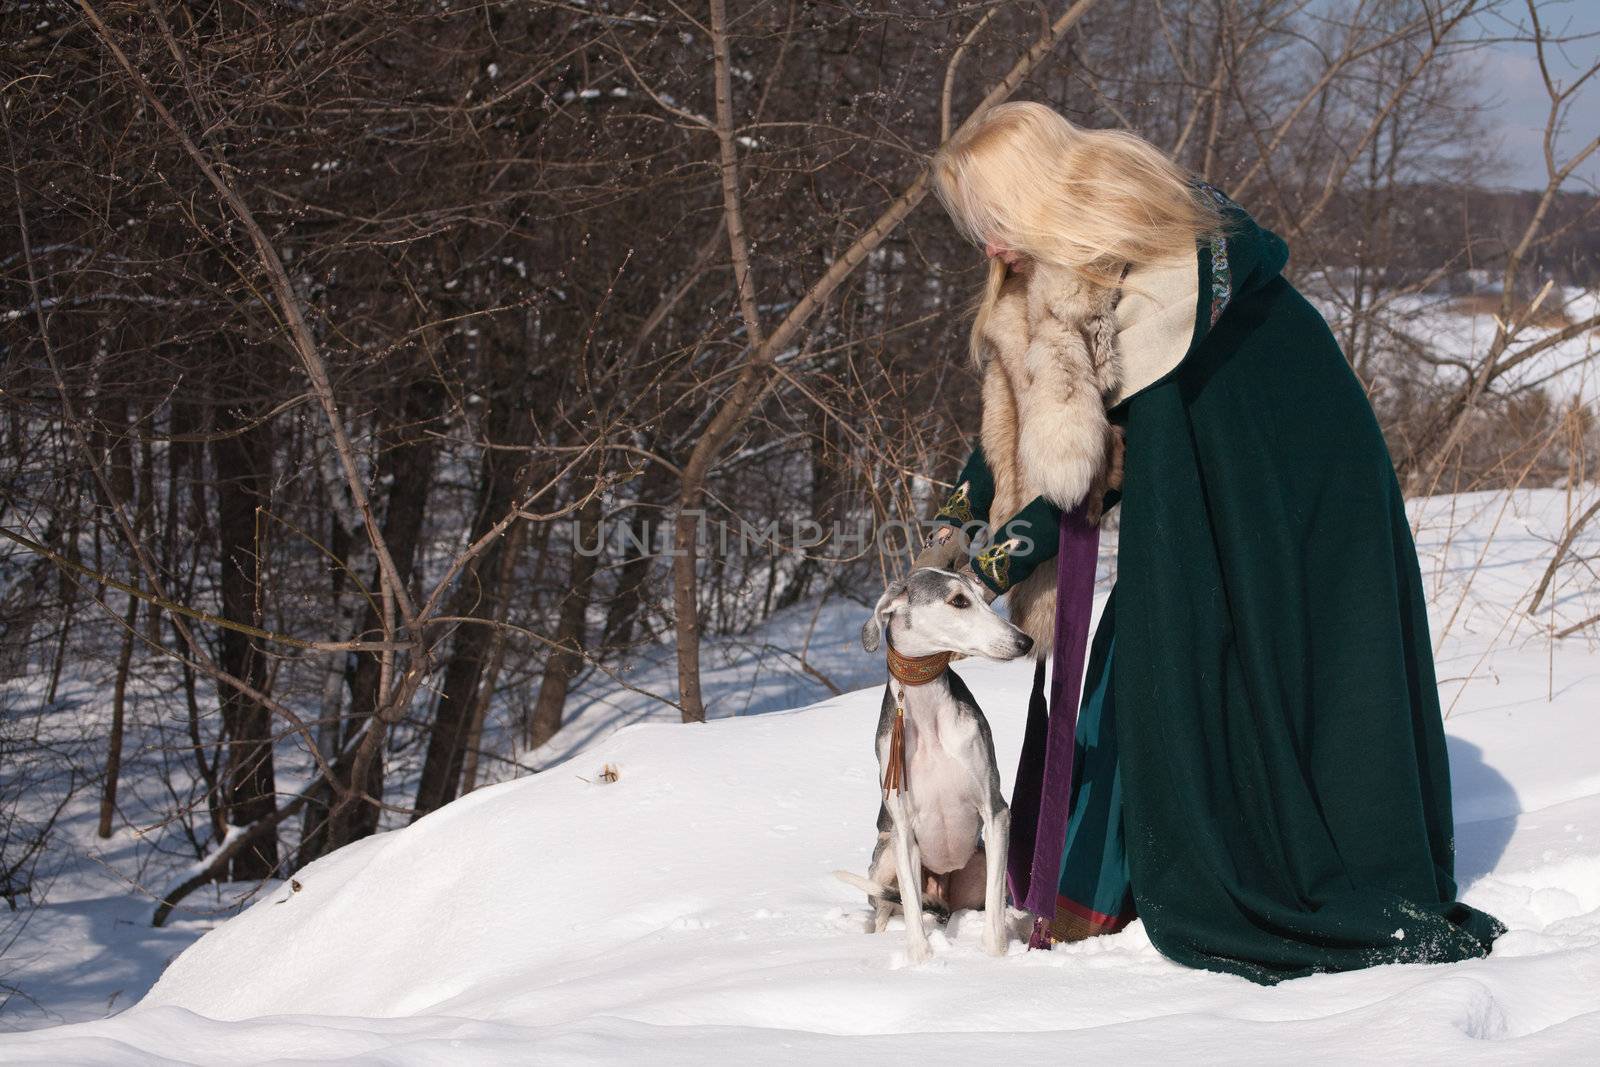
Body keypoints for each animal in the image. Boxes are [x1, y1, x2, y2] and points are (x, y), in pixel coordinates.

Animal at [844, 572, 1030, 966]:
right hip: (885, 854)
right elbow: (913, 907)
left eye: (983, 597)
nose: (1025, 641)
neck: (928, 715)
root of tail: (944, 898)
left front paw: (996, 957)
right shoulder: (903, 828)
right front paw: (921, 960)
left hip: (978, 862)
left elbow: (994, 908)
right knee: (885, 908)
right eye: (959, 601)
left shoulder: (995, 812)